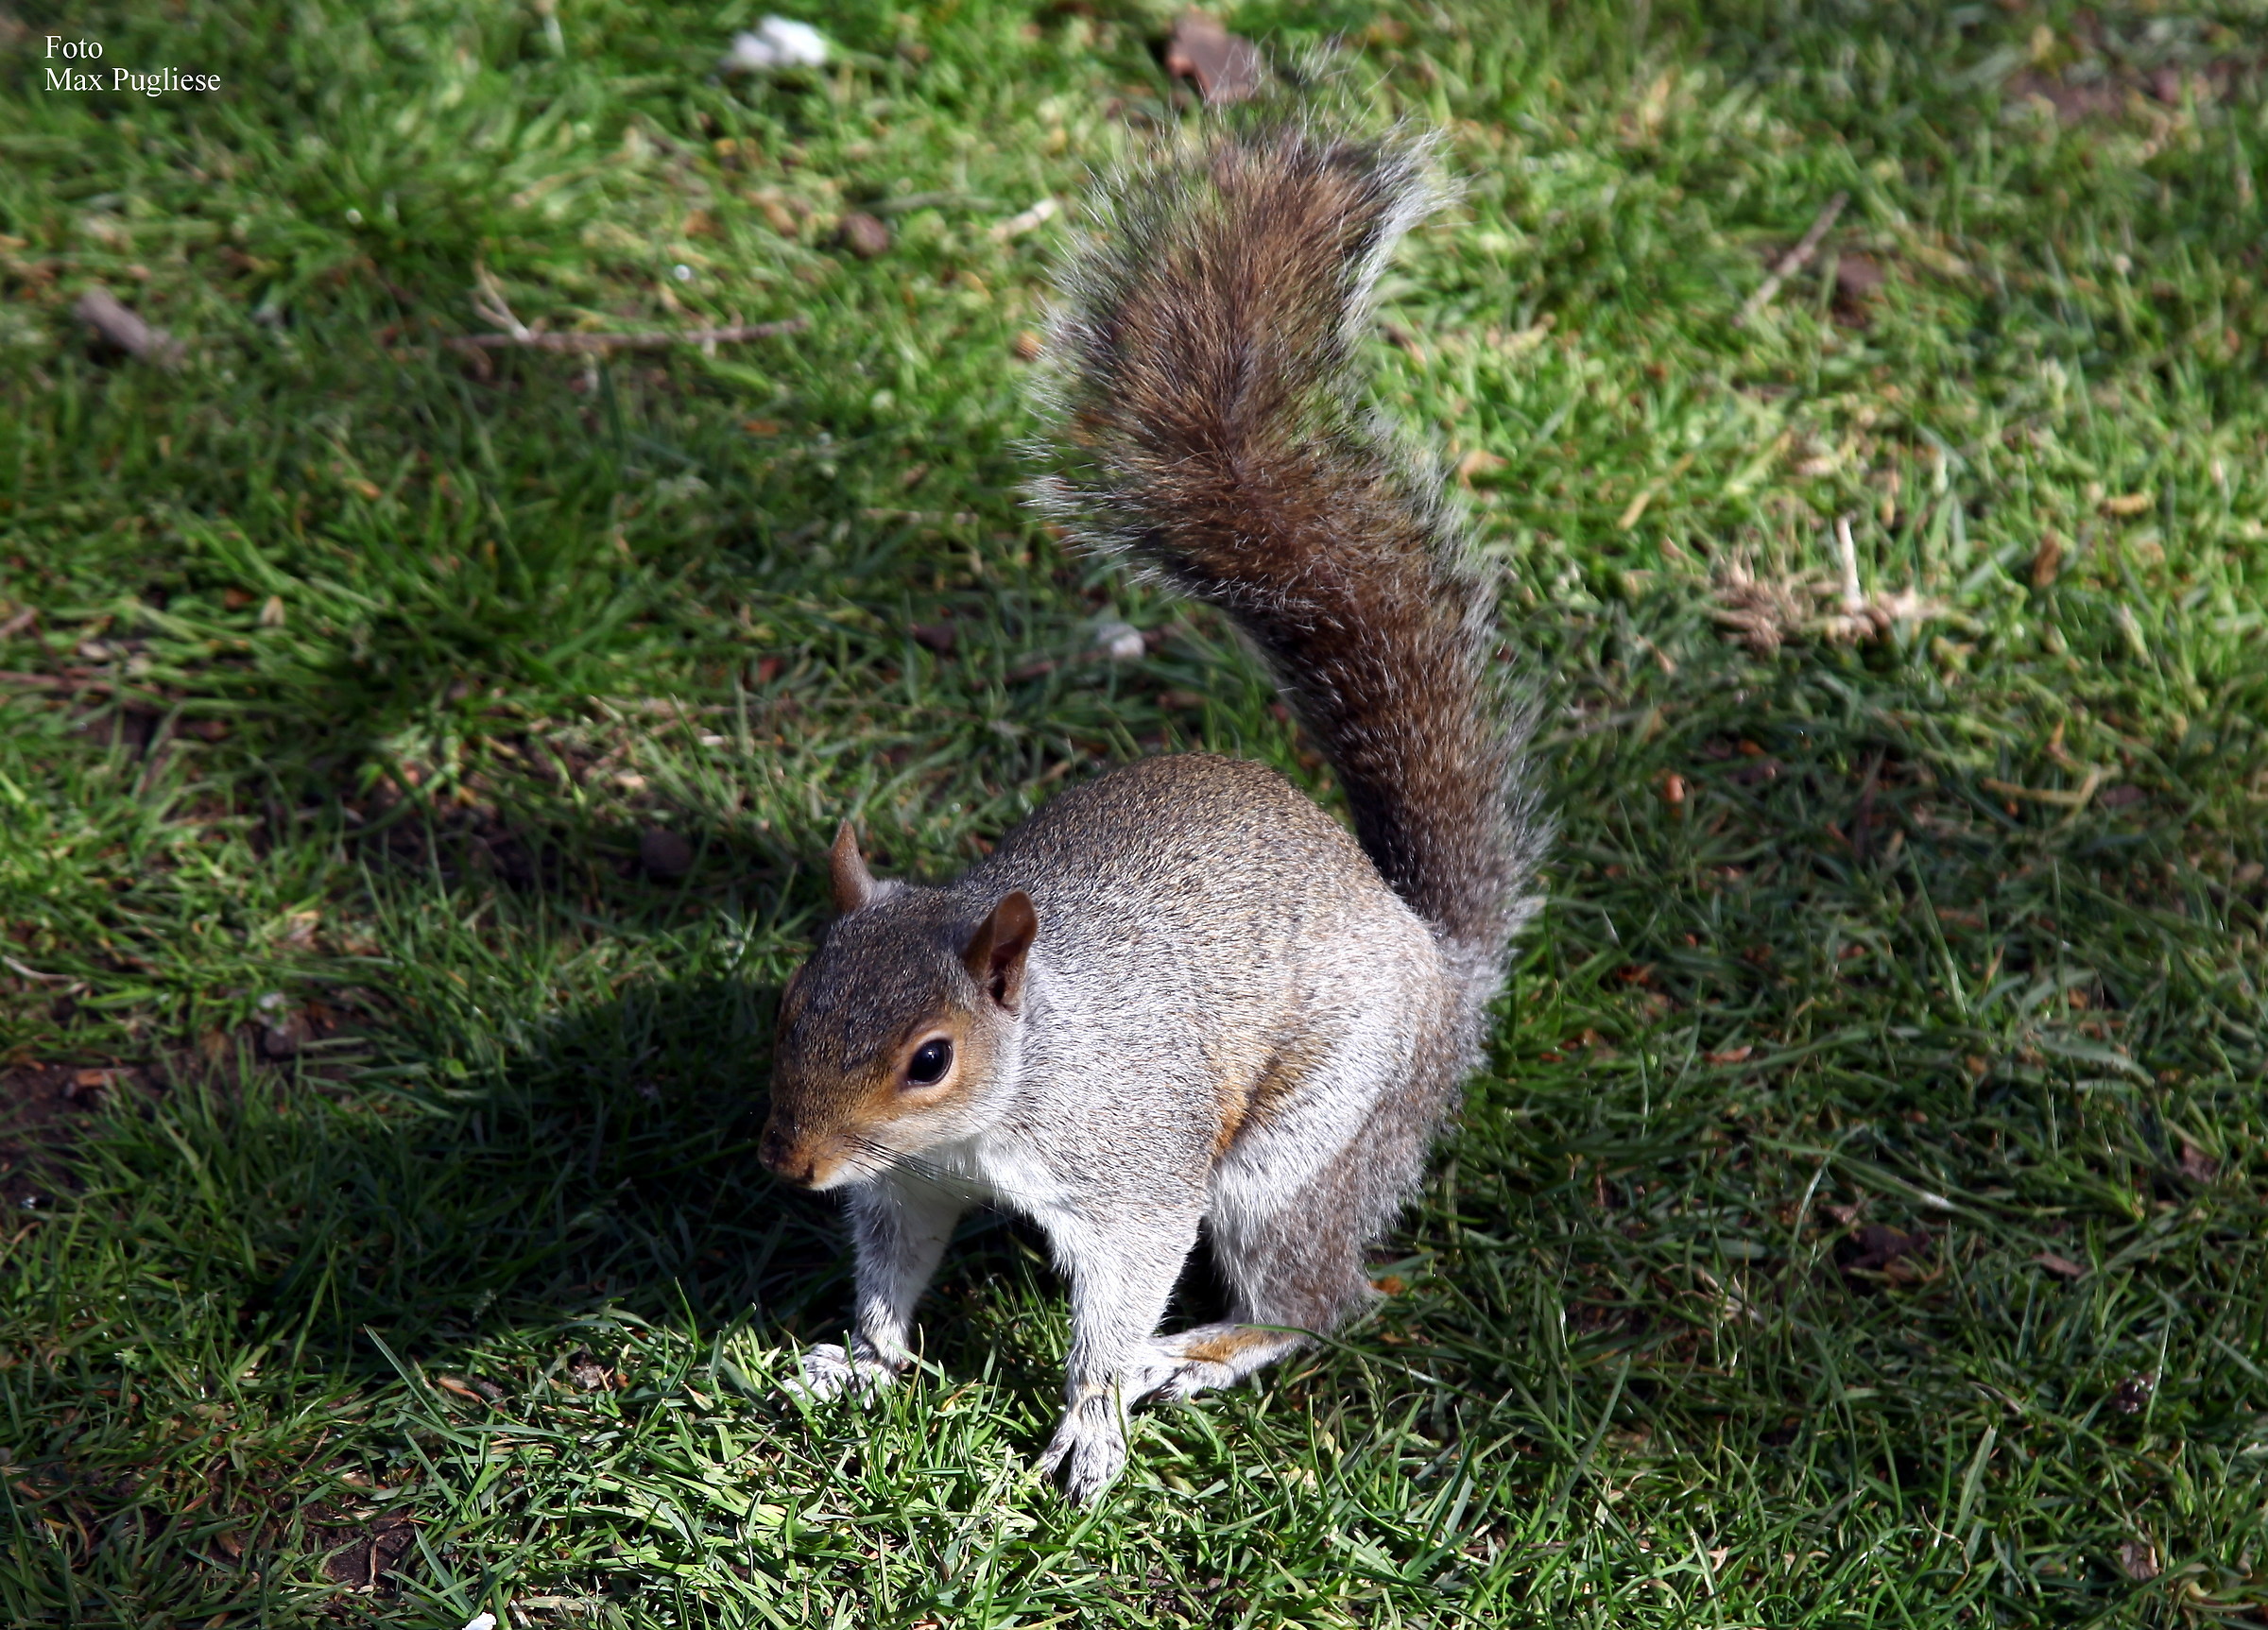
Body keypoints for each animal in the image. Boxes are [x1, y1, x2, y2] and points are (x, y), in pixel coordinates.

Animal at [760, 119, 1547, 1502]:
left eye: (930, 1058)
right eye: (796, 998)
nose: (792, 1164)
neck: (1009, 1090)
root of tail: (1443, 961)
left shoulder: (1130, 1166)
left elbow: (1121, 1285)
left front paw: (1090, 1421)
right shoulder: (909, 1185)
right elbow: (895, 1265)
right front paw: (866, 1359)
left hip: (1307, 1148)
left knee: (1319, 1300)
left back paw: (1195, 1355)